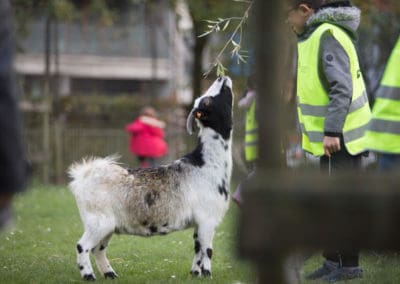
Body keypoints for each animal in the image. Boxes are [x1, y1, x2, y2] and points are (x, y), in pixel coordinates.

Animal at [67, 75, 233, 280]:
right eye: (207, 101)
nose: (221, 77)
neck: (205, 163)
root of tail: (84, 175)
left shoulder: (198, 223)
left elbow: (197, 248)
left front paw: (195, 274)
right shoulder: (207, 218)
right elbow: (207, 250)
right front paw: (208, 275)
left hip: (108, 225)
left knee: (98, 249)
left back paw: (110, 274)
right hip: (97, 220)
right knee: (82, 245)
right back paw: (89, 275)